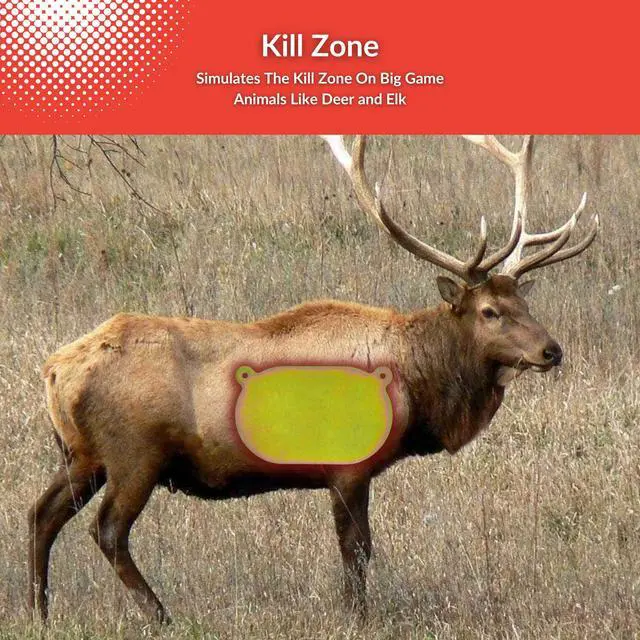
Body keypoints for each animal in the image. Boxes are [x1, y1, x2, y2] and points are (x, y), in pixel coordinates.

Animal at [28, 135, 598, 624]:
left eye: (524, 303)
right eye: (488, 311)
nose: (552, 350)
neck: (414, 382)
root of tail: (55, 369)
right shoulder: (348, 465)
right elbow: (357, 549)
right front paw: (358, 617)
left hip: (82, 453)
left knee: (41, 514)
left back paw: (39, 610)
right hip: (135, 452)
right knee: (107, 530)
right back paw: (160, 614)